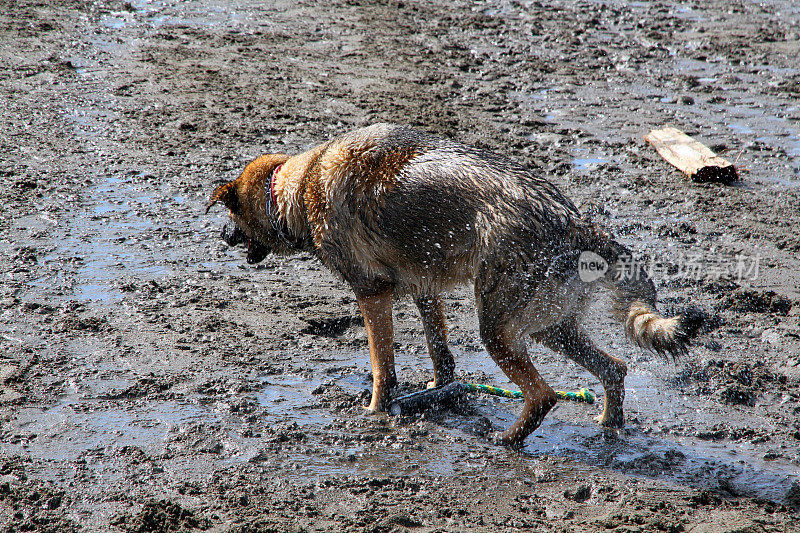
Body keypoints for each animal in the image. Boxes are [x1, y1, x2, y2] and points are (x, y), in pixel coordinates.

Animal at [208, 123, 708, 444]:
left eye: (232, 216)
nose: (223, 238)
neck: (294, 186)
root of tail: (576, 224)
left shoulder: (372, 295)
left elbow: (382, 368)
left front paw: (376, 411)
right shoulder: (424, 291)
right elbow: (441, 356)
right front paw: (435, 391)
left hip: (499, 330)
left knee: (544, 395)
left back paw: (507, 441)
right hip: (551, 328)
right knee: (614, 369)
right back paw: (609, 425)